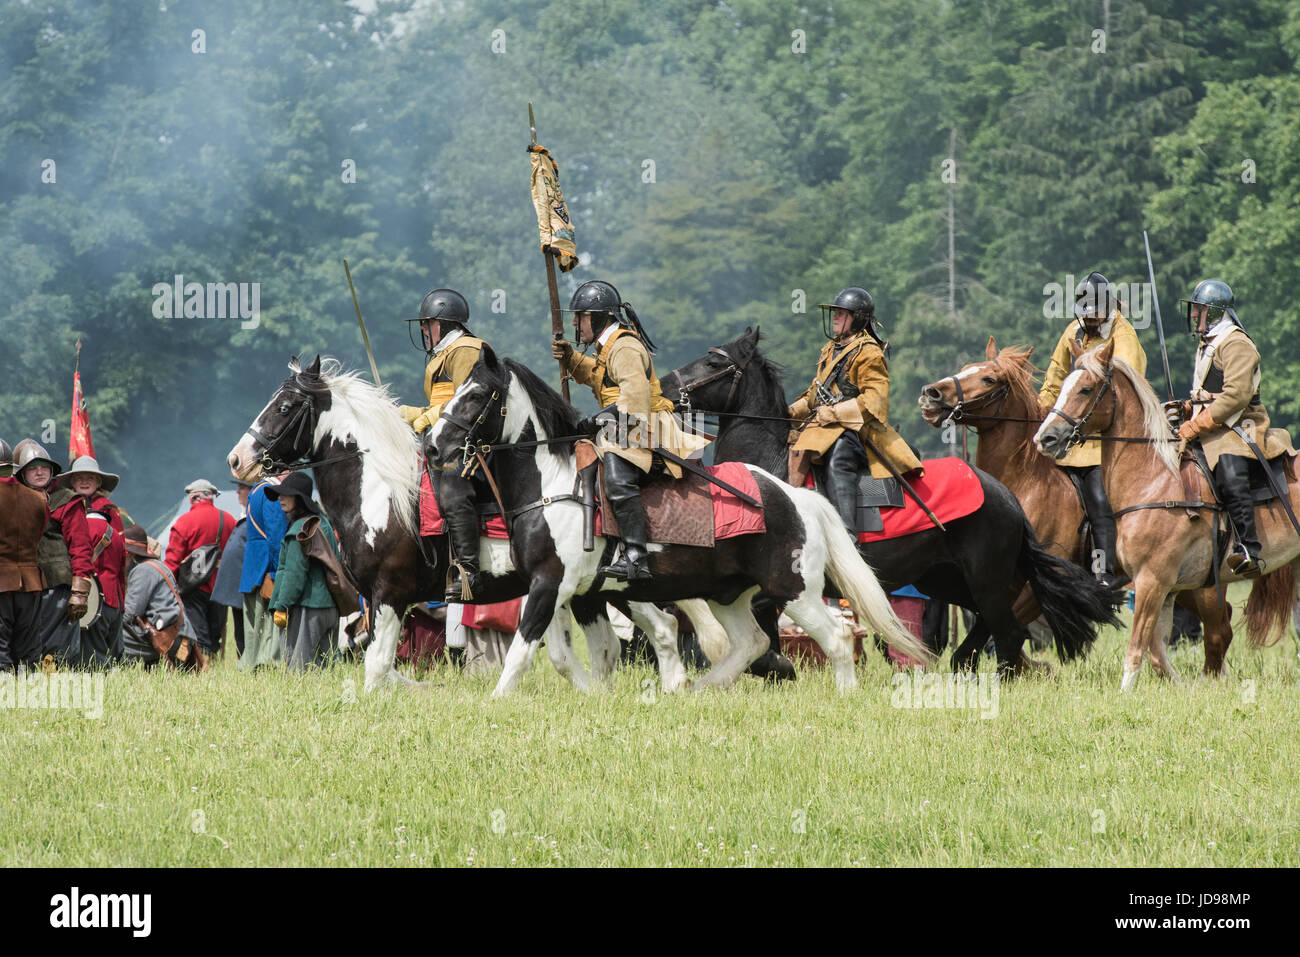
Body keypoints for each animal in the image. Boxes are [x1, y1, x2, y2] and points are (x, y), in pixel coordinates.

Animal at [223, 356, 702, 691]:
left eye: (285, 406)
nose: (237, 459)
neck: (378, 491)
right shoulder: (375, 602)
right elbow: (381, 663)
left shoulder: (390, 594)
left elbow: (376, 666)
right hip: (597, 588)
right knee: (652, 631)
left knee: (656, 629)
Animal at [421, 348, 930, 691]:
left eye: (477, 395)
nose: (432, 446)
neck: (552, 482)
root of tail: (797, 498)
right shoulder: (581, 593)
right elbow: (590, 653)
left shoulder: (551, 585)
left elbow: (523, 653)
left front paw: (498, 700)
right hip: (730, 595)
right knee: (749, 643)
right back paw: (697, 691)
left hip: (795, 591)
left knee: (839, 638)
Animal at [660, 327, 1118, 670]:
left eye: (714, 362)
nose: (663, 385)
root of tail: (1006, 496)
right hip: (945, 579)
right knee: (993, 628)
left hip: (986, 577)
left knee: (1007, 633)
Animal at [920, 335, 1232, 670]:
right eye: (967, 367)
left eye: (988, 379)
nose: (931, 394)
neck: (1025, 482)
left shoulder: (1044, 584)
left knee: (1218, 628)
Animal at [1029, 340, 1294, 691]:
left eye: (1085, 389)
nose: (1045, 438)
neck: (1154, 478)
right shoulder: (1166, 589)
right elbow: (1157, 653)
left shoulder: (1152, 581)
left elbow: (1136, 649)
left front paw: (1125, 694)